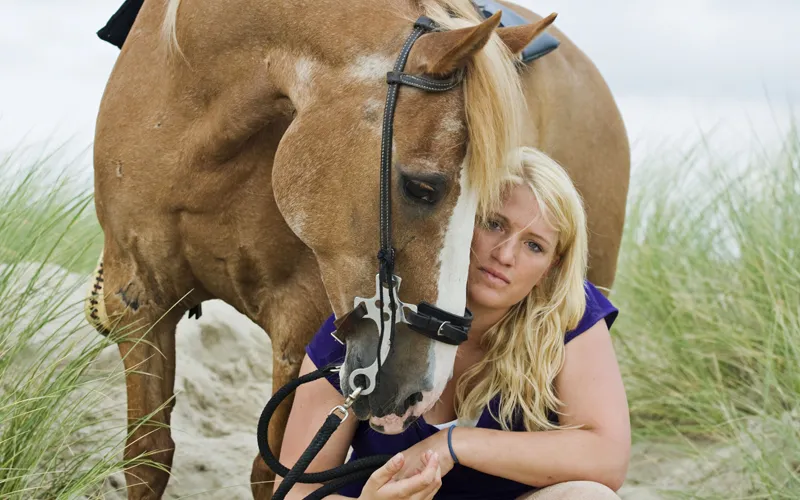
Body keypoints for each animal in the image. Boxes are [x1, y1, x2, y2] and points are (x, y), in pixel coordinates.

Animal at [84, 0, 628, 500]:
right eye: (422, 187)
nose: (419, 389)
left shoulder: (298, 321)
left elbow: (271, 472)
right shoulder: (141, 303)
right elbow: (147, 459)